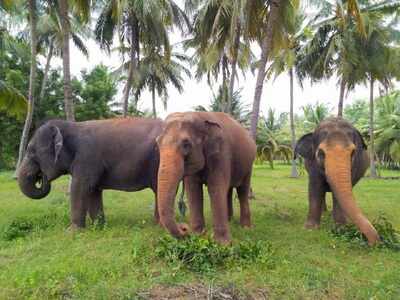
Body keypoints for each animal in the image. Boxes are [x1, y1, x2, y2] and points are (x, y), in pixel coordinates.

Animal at [16, 117, 162, 227]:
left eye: (32, 152)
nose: (41, 177)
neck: (71, 126)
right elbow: (93, 190)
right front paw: (99, 227)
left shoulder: (87, 157)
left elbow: (79, 188)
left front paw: (72, 233)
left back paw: (158, 225)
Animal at [155, 111, 255, 245]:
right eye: (157, 143)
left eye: (186, 144)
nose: (184, 227)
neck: (200, 116)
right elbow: (193, 190)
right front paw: (198, 236)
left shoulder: (221, 153)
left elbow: (215, 188)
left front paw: (223, 244)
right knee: (228, 190)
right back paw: (229, 220)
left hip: (249, 165)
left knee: (242, 191)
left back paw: (246, 227)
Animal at [296, 117, 380, 246]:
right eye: (320, 153)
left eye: (353, 153)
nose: (371, 243)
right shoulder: (312, 164)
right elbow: (315, 188)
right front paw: (310, 228)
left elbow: (338, 195)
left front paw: (340, 227)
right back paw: (324, 212)